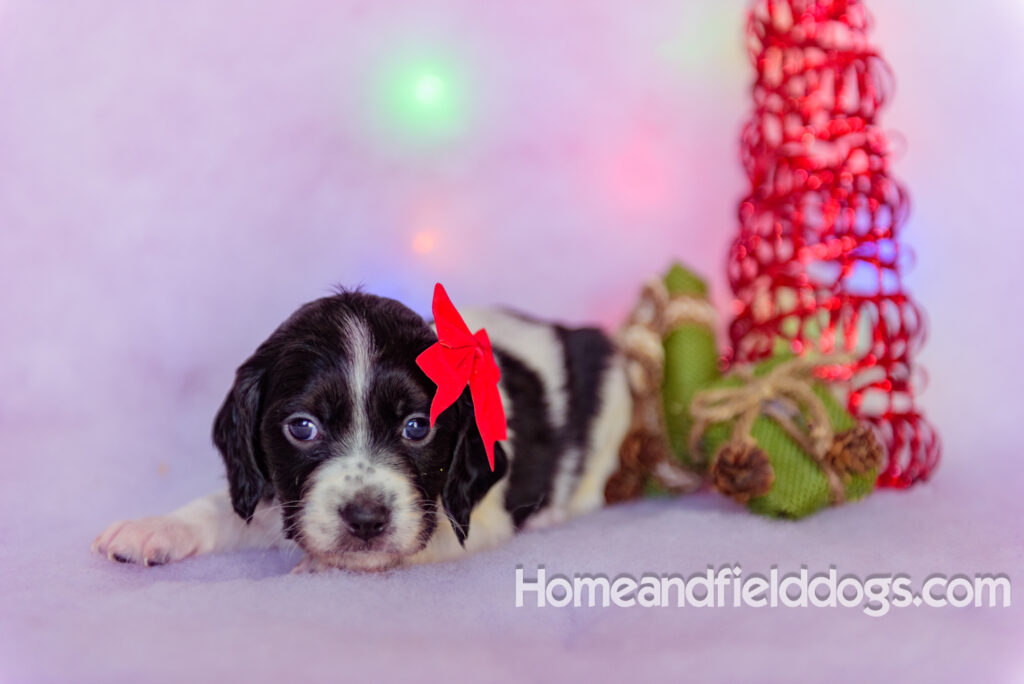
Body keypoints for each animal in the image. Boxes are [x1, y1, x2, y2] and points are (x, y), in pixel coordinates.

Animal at [92, 290, 630, 573]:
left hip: (613, 412)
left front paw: (320, 567)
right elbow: (220, 507)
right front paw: (152, 529)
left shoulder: (472, 520)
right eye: (302, 428)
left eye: (417, 427)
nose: (366, 519)